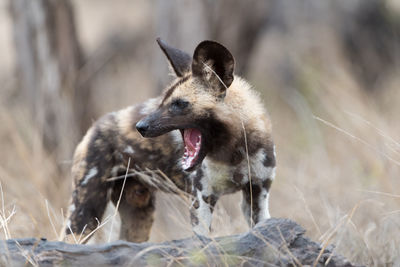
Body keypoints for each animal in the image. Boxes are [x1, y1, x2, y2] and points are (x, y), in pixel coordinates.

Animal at [65, 38, 276, 243]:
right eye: (162, 101)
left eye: (179, 104)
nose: (140, 126)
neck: (235, 151)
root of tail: (95, 125)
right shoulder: (202, 200)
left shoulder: (257, 196)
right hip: (84, 215)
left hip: (138, 216)